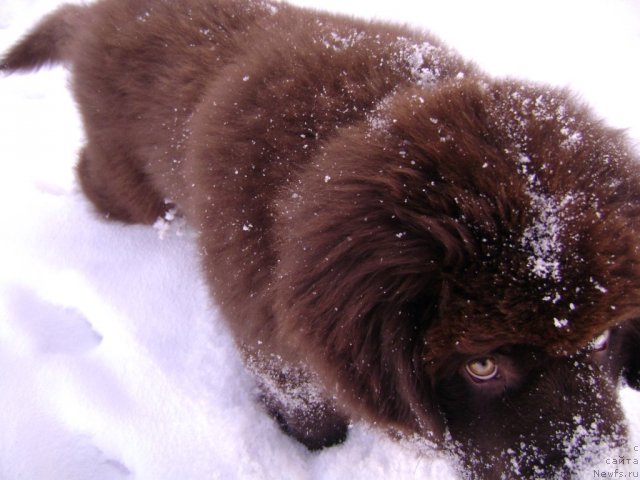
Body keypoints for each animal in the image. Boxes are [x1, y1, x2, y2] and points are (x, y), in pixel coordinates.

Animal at [5, 1, 640, 478]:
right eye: (482, 366)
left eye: (604, 338)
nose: (598, 472)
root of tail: (98, 14)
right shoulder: (279, 354)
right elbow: (312, 416)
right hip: (130, 179)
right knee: (98, 178)